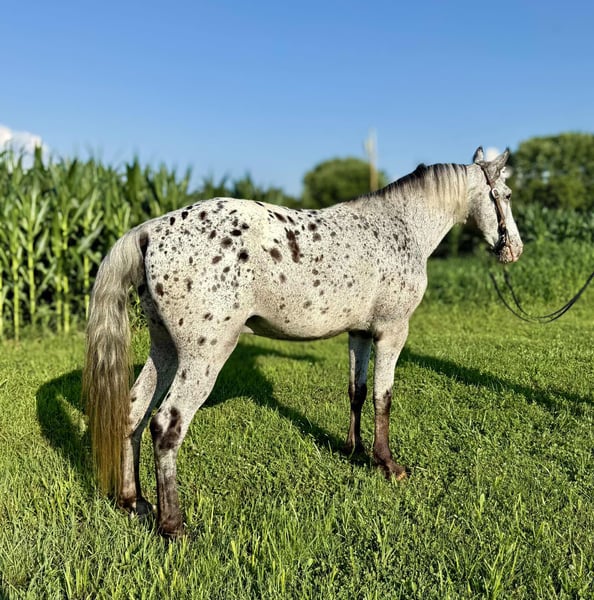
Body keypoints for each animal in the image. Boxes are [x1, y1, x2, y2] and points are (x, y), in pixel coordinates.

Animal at [83, 147, 523, 537]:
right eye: (506, 194)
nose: (514, 249)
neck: (401, 226)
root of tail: (149, 231)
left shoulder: (359, 333)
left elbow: (357, 391)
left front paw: (353, 450)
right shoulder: (392, 330)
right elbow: (383, 397)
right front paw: (388, 465)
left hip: (165, 350)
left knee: (133, 412)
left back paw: (134, 502)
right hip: (202, 355)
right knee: (166, 424)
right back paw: (173, 527)